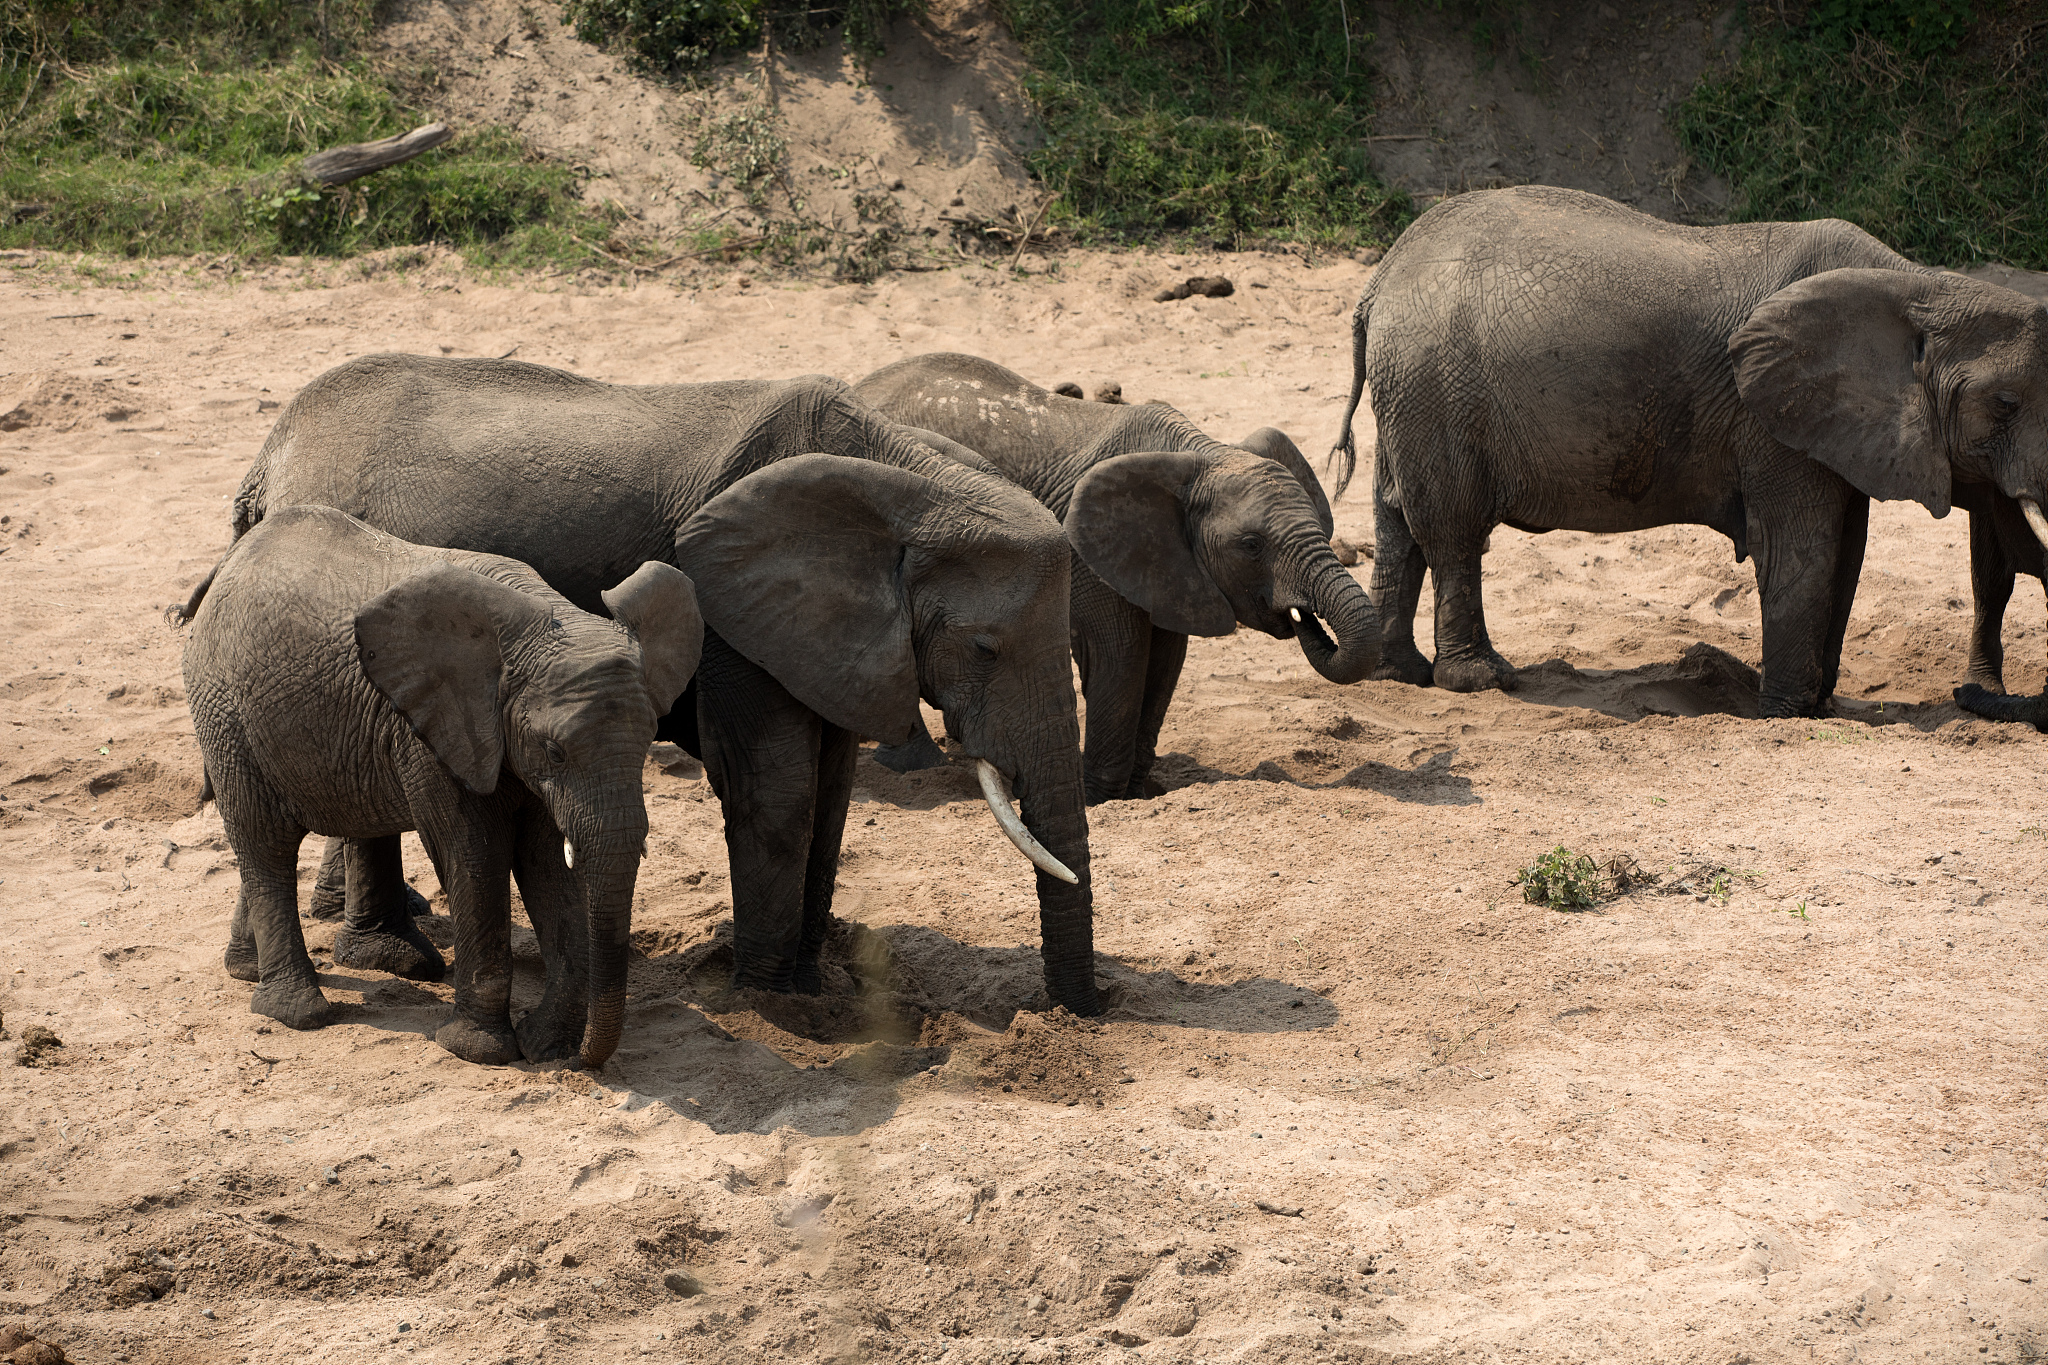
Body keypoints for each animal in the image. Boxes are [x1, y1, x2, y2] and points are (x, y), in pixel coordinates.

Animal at [180, 505, 702, 1067]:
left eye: (650, 738)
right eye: (554, 750)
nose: (580, 1062)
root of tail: (231, 560)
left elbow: (543, 860)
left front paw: (546, 1041)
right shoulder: (437, 733)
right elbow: (473, 855)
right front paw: (481, 1050)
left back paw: (258, 970)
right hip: (223, 711)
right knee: (265, 841)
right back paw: (298, 1012)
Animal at [187, 356, 1102, 1014]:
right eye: (983, 646)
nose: (1077, 1014)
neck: (909, 473)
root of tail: (266, 461)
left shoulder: (828, 633)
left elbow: (833, 790)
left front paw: (813, 988)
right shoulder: (731, 611)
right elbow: (775, 787)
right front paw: (773, 1006)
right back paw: (387, 960)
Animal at [853, 353, 1379, 804]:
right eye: (1251, 545)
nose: (1304, 617)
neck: (1200, 452)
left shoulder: (1171, 565)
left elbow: (1164, 661)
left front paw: (1141, 793)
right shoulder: (1090, 556)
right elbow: (1120, 656)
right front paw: (1100, 799)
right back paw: (914, 766)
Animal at [1332, 185, 2048, 718]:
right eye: (2005, 403)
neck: (1918, 285)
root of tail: (1378, 282)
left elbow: (1846, 551)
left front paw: (1815, 706)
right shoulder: (1771, 421)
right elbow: (1802, 547)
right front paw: (1785, 716)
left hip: (1414, 392)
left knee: (1398, 519)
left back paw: (1398, 674)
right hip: (1436, 386)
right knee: (1452, 530)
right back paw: (1481, 681)